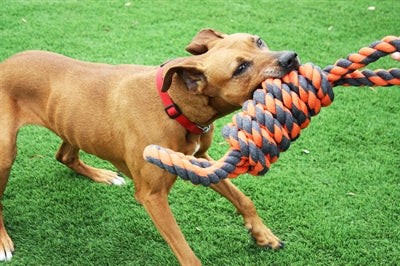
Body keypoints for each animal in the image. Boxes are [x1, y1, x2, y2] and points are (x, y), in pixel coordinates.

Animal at [0, 29, 298, 264]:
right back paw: (3, 241)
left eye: (258, 41)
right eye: (240, 69)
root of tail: (5, 63)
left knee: (64, 156)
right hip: (5, 154)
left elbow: (243, 198)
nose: (290, 58)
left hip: (73, 125)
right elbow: (186, 253)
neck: (174, 103)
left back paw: (102, 175)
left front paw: (263, 234)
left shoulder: (200, 161)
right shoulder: (153, 196)